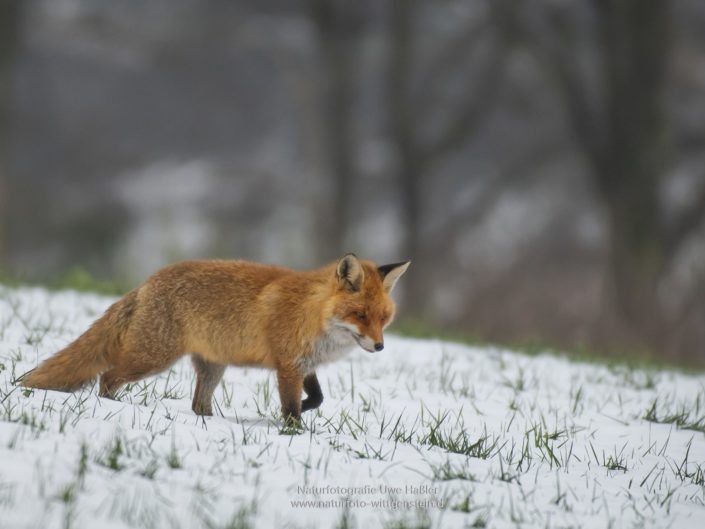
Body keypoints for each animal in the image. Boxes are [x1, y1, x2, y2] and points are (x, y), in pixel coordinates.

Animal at [19, 254, 410, 422]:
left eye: (384, 319)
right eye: (361, 316)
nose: (379, 346)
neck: (312, 314)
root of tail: (147, 282)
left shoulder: (302, 364)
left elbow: (316, 397)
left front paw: (303, 408)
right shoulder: (287, 365)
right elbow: (291, 407)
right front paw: (292, 432)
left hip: (212, 368)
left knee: (198, 404)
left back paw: (208, 421)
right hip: (152, 359)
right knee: (107, 376)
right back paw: (111, 406)